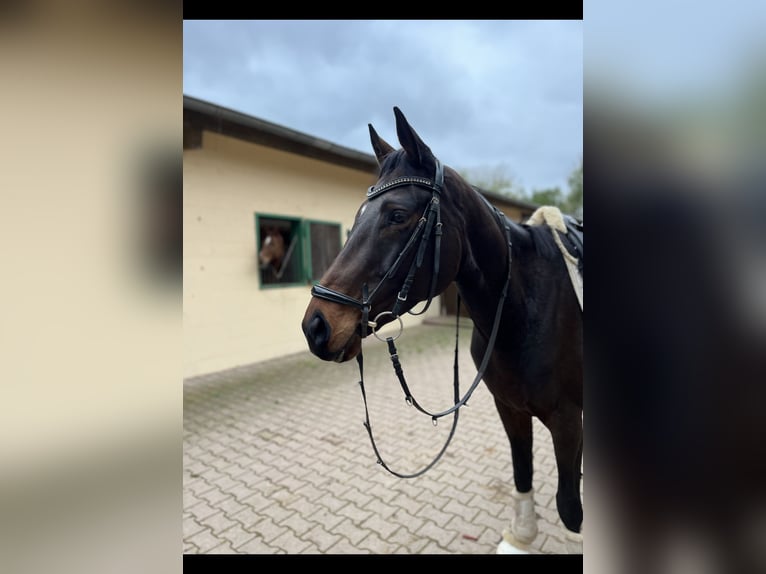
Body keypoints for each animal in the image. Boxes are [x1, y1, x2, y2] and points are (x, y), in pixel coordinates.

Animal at [304, 108, 584, 552]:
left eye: (397, 216)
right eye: (358, 216)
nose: (316, 326)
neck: (524, 312)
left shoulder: (568, 419)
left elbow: (570, 508)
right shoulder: (510, 407)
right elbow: (522, 470)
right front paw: (521, 536)